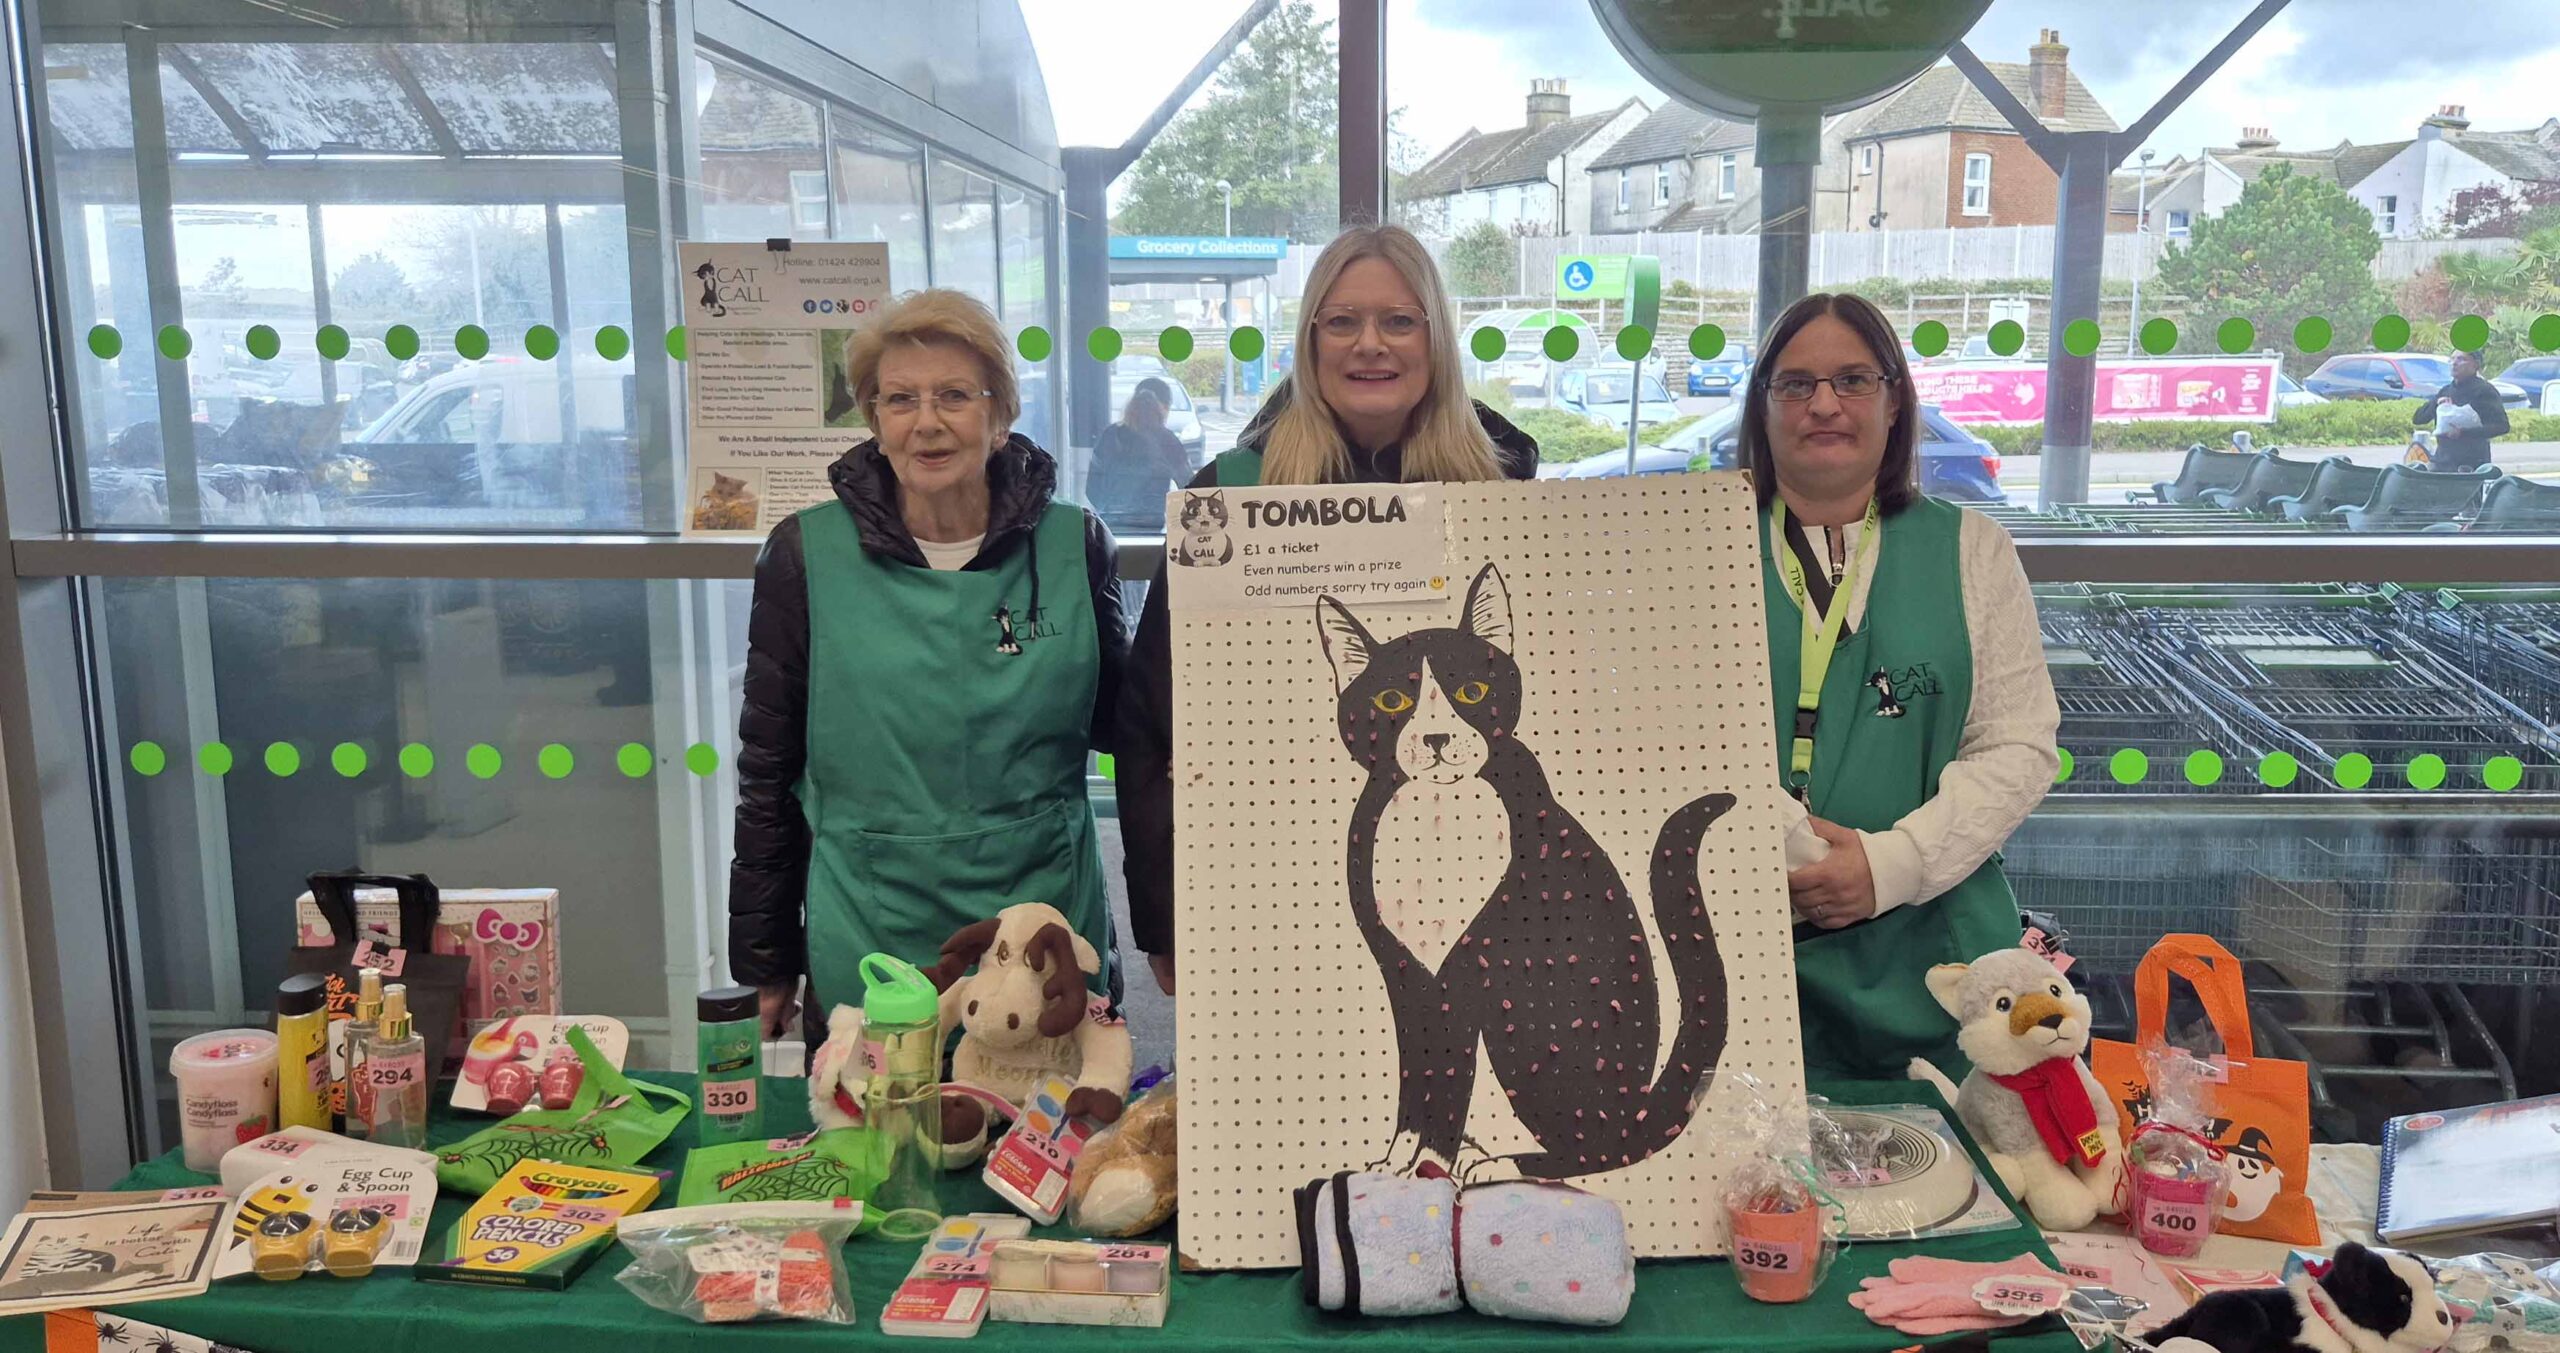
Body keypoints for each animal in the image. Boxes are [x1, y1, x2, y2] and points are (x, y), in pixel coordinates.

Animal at [1320, 565, 1740, 1176]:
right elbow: (1417, 1072)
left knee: (1600, 1148)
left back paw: (1502, 1163)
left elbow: (1449, 1077)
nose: (1437, 738)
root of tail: (1641, 1108)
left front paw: (1431, 1163)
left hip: (1531, 1026)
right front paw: (1398, 1161)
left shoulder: (1464, 971)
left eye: (1472, 692)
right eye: (1392, 699)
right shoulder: (1403, 970)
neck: (1437, 814)